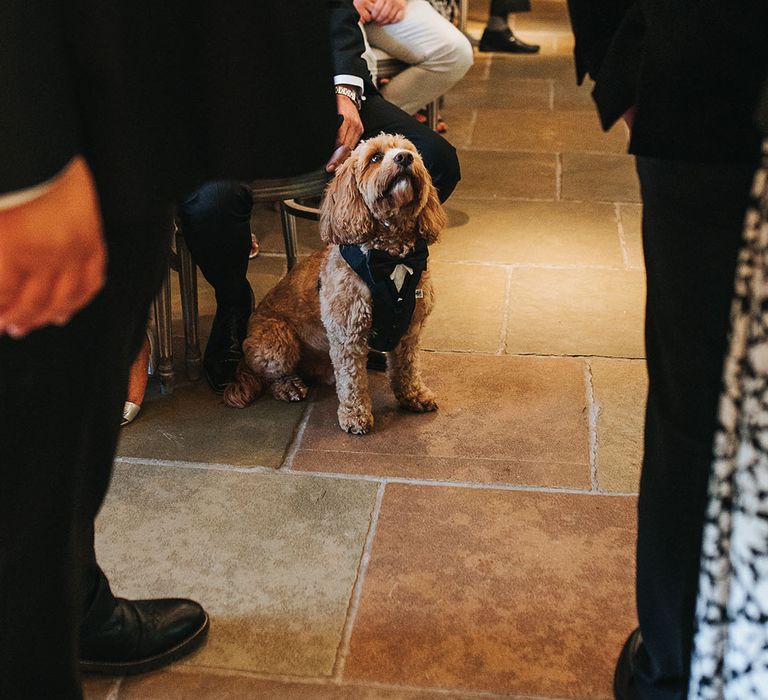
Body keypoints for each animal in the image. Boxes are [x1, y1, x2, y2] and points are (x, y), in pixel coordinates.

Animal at [222, 134, 448, 434]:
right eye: (375, 157)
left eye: (408, 150)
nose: (404, 158)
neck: (390, 258)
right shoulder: (347, 334)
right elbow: (352, 381)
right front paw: (355, 416)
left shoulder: (410, 329)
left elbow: (407, 367)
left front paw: (413, 396)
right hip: (276, 341)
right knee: (272, 374)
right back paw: (288, 386)